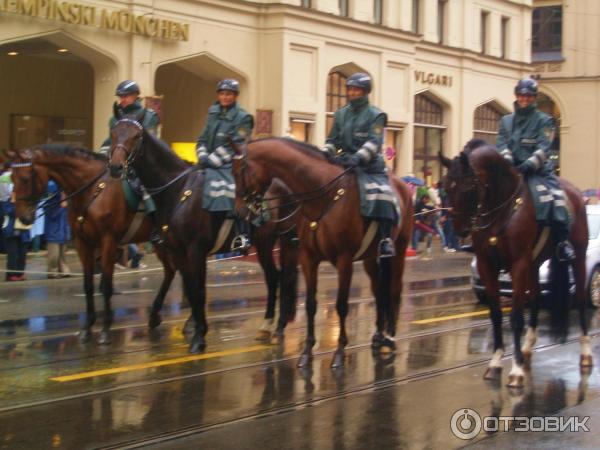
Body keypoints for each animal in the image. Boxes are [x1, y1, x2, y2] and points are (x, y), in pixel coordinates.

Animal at [8, 145, 176, 344]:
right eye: (12, 178)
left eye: (25, 178)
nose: (23, 218)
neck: (93, 191)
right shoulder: (83, 243)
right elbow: (88, 285)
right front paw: (87, 327)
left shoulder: (108, 240)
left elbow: (107, 286)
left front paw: (105, 328)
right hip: (162, 243)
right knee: (170, 271)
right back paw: (155, 315)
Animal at [108, 115, 300, 352]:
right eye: (114, 133)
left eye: (136, 136)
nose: (116, 167)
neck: (179, 191)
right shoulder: (179, 251)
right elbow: (191, 288)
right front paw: (197, 327)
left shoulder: (196, 250)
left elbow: (198, 290)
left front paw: (199, 336)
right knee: (280, 276)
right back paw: (274, 326)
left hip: (267, 242)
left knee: (276, 277)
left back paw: (272, 325)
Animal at [230, 139, 412, 368]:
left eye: (239, 172)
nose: (238, 212)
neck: (324, 197)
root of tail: (403, 185)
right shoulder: (309, 258)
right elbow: (310, 305)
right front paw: (307, 351)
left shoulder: (344, 260)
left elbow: (341, 305)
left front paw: (340, 351)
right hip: (370, 257)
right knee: (379, 290)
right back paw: (378, 335)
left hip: (399, 250)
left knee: (394, 289)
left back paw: (390, 337)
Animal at [438, 141, 592, 386]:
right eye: (445, 188)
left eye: (469, 187)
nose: (460, 230)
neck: (501, 209)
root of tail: (576, 192)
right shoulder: (486, 265)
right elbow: (496, 314)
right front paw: (495, 362)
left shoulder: (518, 264)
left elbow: (517, 316)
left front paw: (516, 369)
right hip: (534, 264)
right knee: (536, 298)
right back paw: (528, 349)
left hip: (577, 256)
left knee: (580, 298)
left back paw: (585, 352)